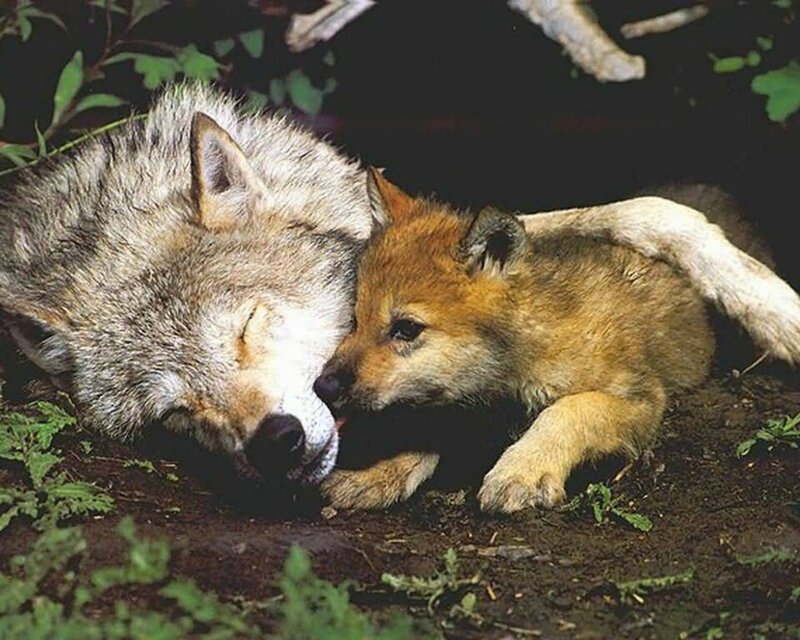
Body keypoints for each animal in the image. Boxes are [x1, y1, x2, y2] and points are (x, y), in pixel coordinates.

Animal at [315, 170, 800, 512]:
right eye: (354, 320)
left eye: (406, 328)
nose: (323, 386)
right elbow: (428, 428)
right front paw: (377, 475)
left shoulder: (641, 398)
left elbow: (568, 411)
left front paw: (522, 470)